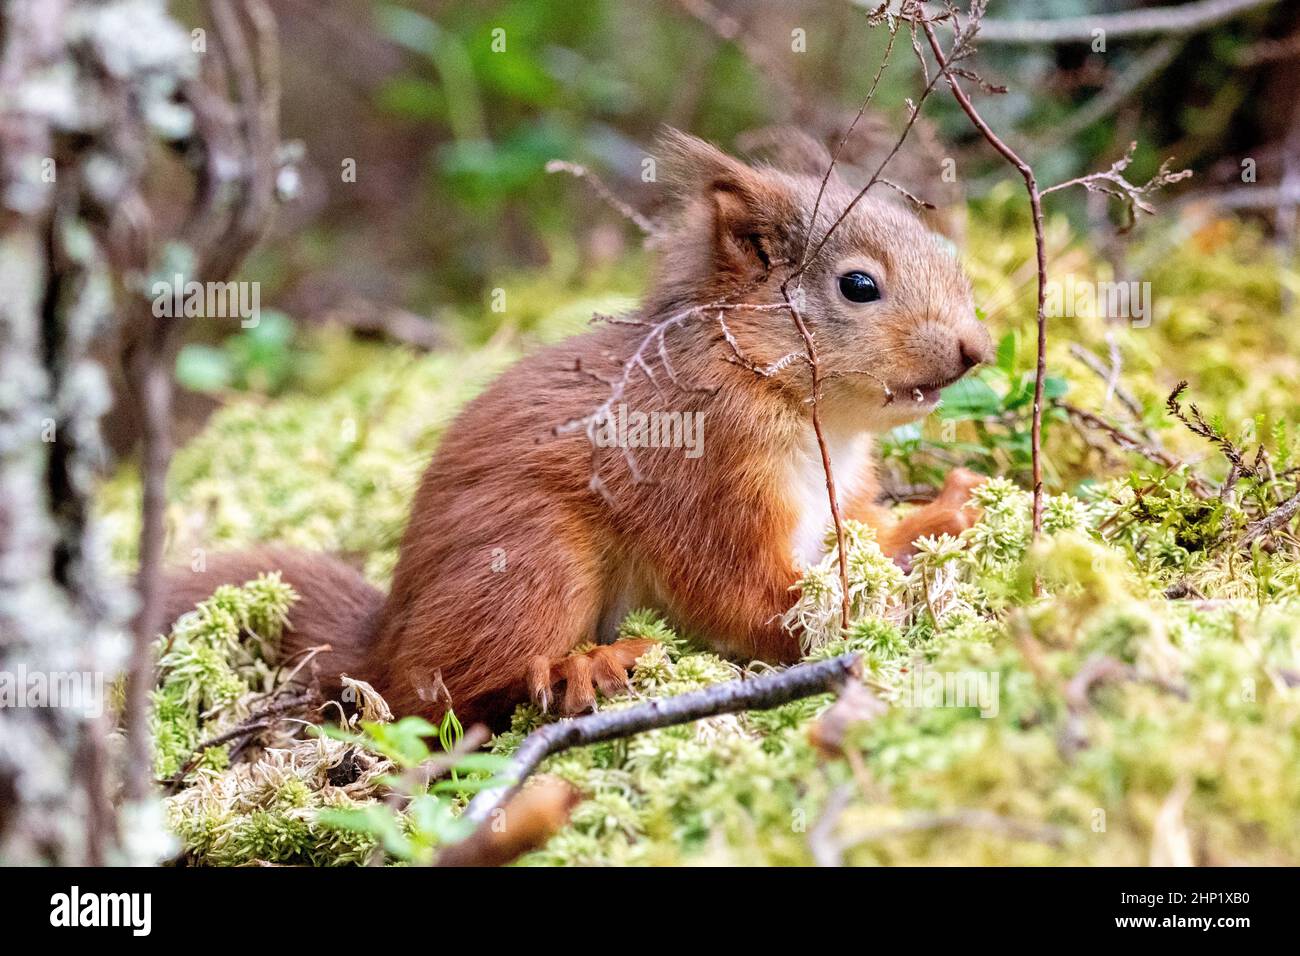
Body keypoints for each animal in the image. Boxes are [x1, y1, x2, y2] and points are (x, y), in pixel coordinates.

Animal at [165, 132, 993, 723]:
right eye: (858, 285)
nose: (977, 349)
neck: (790, 400)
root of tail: (384, 640)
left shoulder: (835, 500)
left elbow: (863, 538)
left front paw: (945, 511)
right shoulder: (701, 479)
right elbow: (747, 599)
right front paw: (866, 615)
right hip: (534, 560)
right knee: (443, 695)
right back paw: (582, 666)